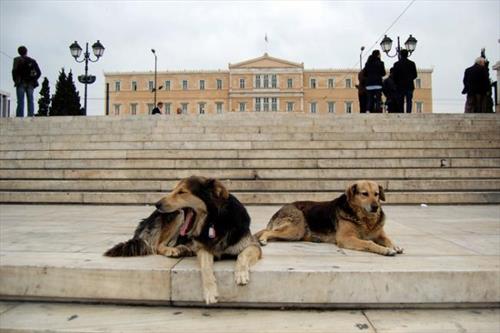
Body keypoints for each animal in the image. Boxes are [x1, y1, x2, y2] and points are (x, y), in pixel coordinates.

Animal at [155, 176, 262, 304]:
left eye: (182, 192)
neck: (214, 220)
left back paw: (184, 249)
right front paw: (210, 291)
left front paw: (241, 274)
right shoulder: (203, 249)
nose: (156, 204)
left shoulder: (253, 245)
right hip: (177, 218)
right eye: (173, 190)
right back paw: (172, 250)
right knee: (159, 244)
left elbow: (242, 255)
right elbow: (206, 266)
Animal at [256, 180, 404, 255]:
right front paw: (385, 250)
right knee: (267, 231)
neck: (366, 220)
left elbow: (388, 239)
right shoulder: (345, 238)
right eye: (364, 194)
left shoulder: (380, 235)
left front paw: (395, 246)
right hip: (296, 229)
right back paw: (263, 239)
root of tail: (281, 209)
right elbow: (369, 243)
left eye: (377, 194)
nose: (375, 207)